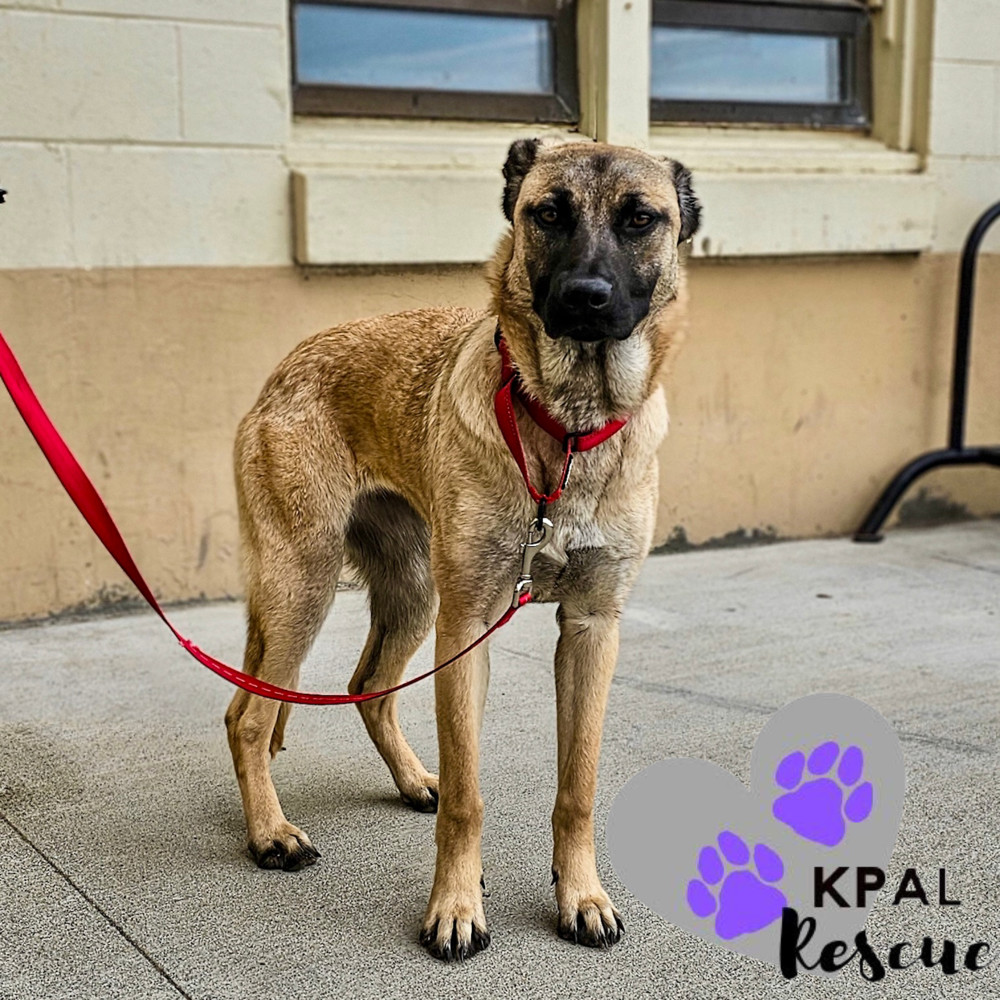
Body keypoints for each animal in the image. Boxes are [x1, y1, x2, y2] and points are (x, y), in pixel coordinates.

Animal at [223, 139, 700, 960]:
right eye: (549, 213)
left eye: (641, 219)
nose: (586, 297)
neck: (565, 430)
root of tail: (282, 371)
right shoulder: (467, 626)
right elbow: (471, 796)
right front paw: (455, 906)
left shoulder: (592, 630)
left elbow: (577, 788)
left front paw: (581, 895)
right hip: (305, 588)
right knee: (251, 719)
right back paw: (271, 833)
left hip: (410, 595)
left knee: (365, 688)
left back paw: (415, 779)